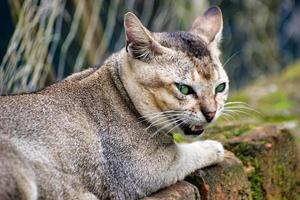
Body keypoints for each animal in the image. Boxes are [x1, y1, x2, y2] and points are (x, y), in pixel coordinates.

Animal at [0, 6, 229, 200]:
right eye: (184, 89)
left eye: (220, 87)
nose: (211, 113)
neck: (120, 93)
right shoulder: (143, 169)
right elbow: (186, 154)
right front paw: (214, 148)